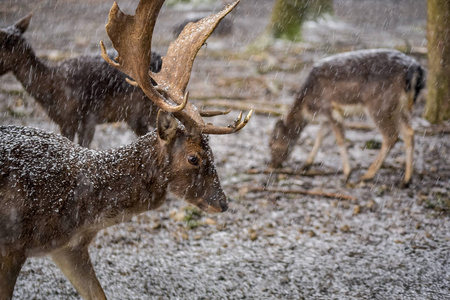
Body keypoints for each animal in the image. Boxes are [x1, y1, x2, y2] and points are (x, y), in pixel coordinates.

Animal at [268, 49, 428, 185]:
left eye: (271, 142)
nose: (273, 163)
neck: (308, 105)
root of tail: (415, 70)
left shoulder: (329, 109)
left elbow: (339, 139)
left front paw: (347, 173)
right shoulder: (327, 116)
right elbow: (320, 137)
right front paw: (306, 164)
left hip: (379, 105)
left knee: (391, 135)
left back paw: (367, 175)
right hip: (399, 108)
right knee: (409, 133)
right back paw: (406, 181)